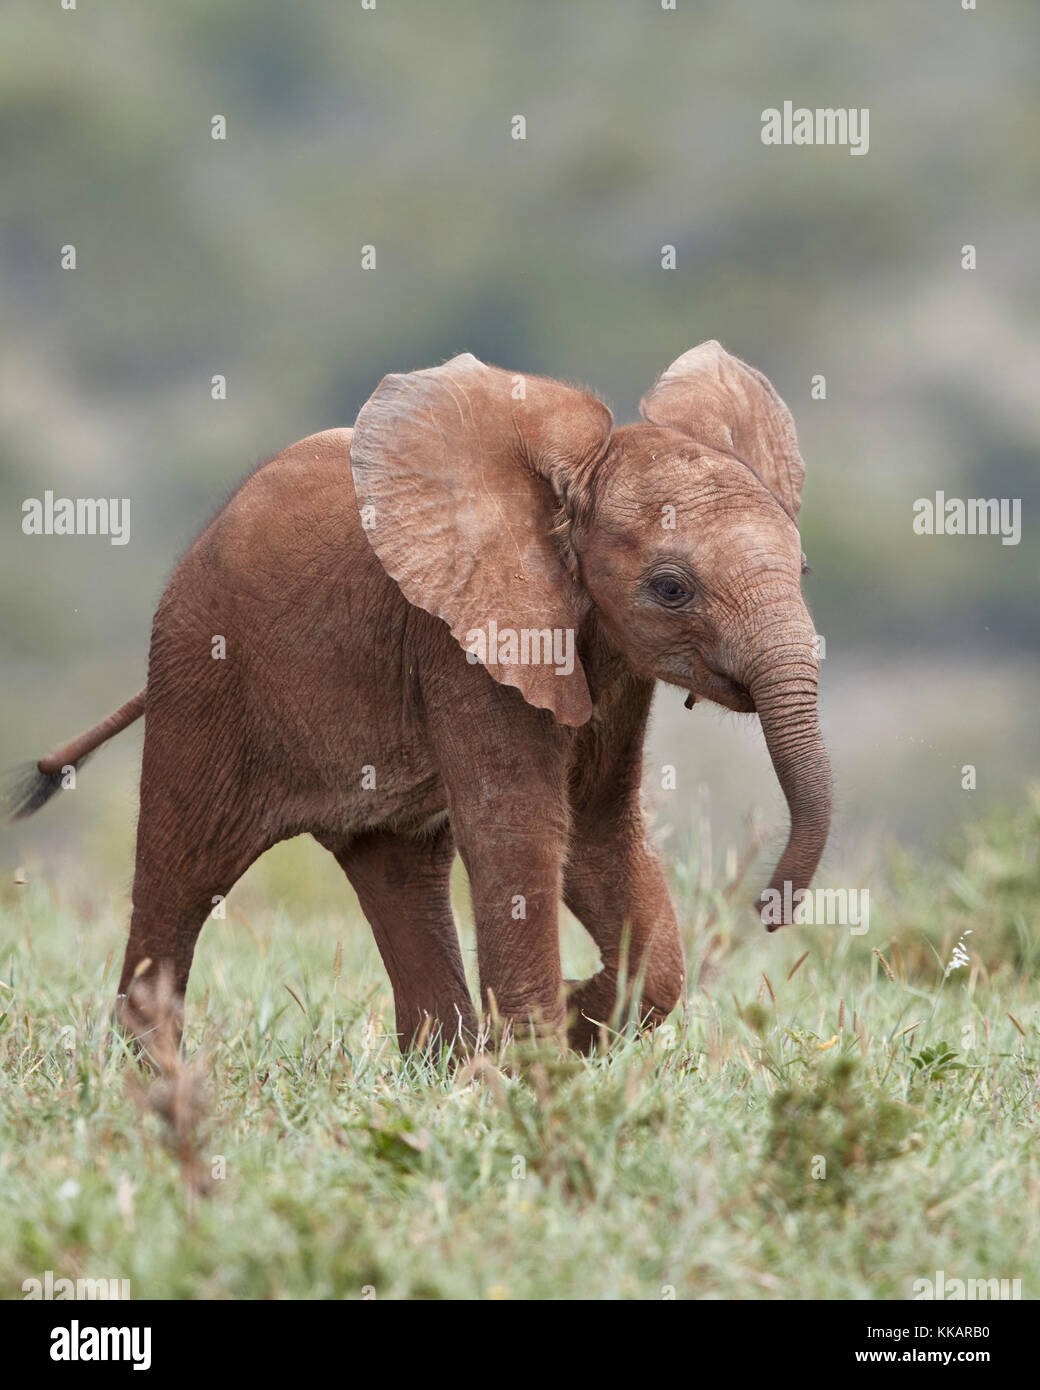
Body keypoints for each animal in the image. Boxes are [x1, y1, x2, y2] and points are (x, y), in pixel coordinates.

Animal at [4, 344, 834, 1050]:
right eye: (670, 588)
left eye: (804, 569)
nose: (766, 912)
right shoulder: (462, 643)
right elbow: (518, 827)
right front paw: (542, 1064)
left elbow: (598, 830)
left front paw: (565, 1023)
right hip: (201, 673)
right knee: (183, 870)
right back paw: (157, 1081)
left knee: (397, 872)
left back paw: (447, 1068)